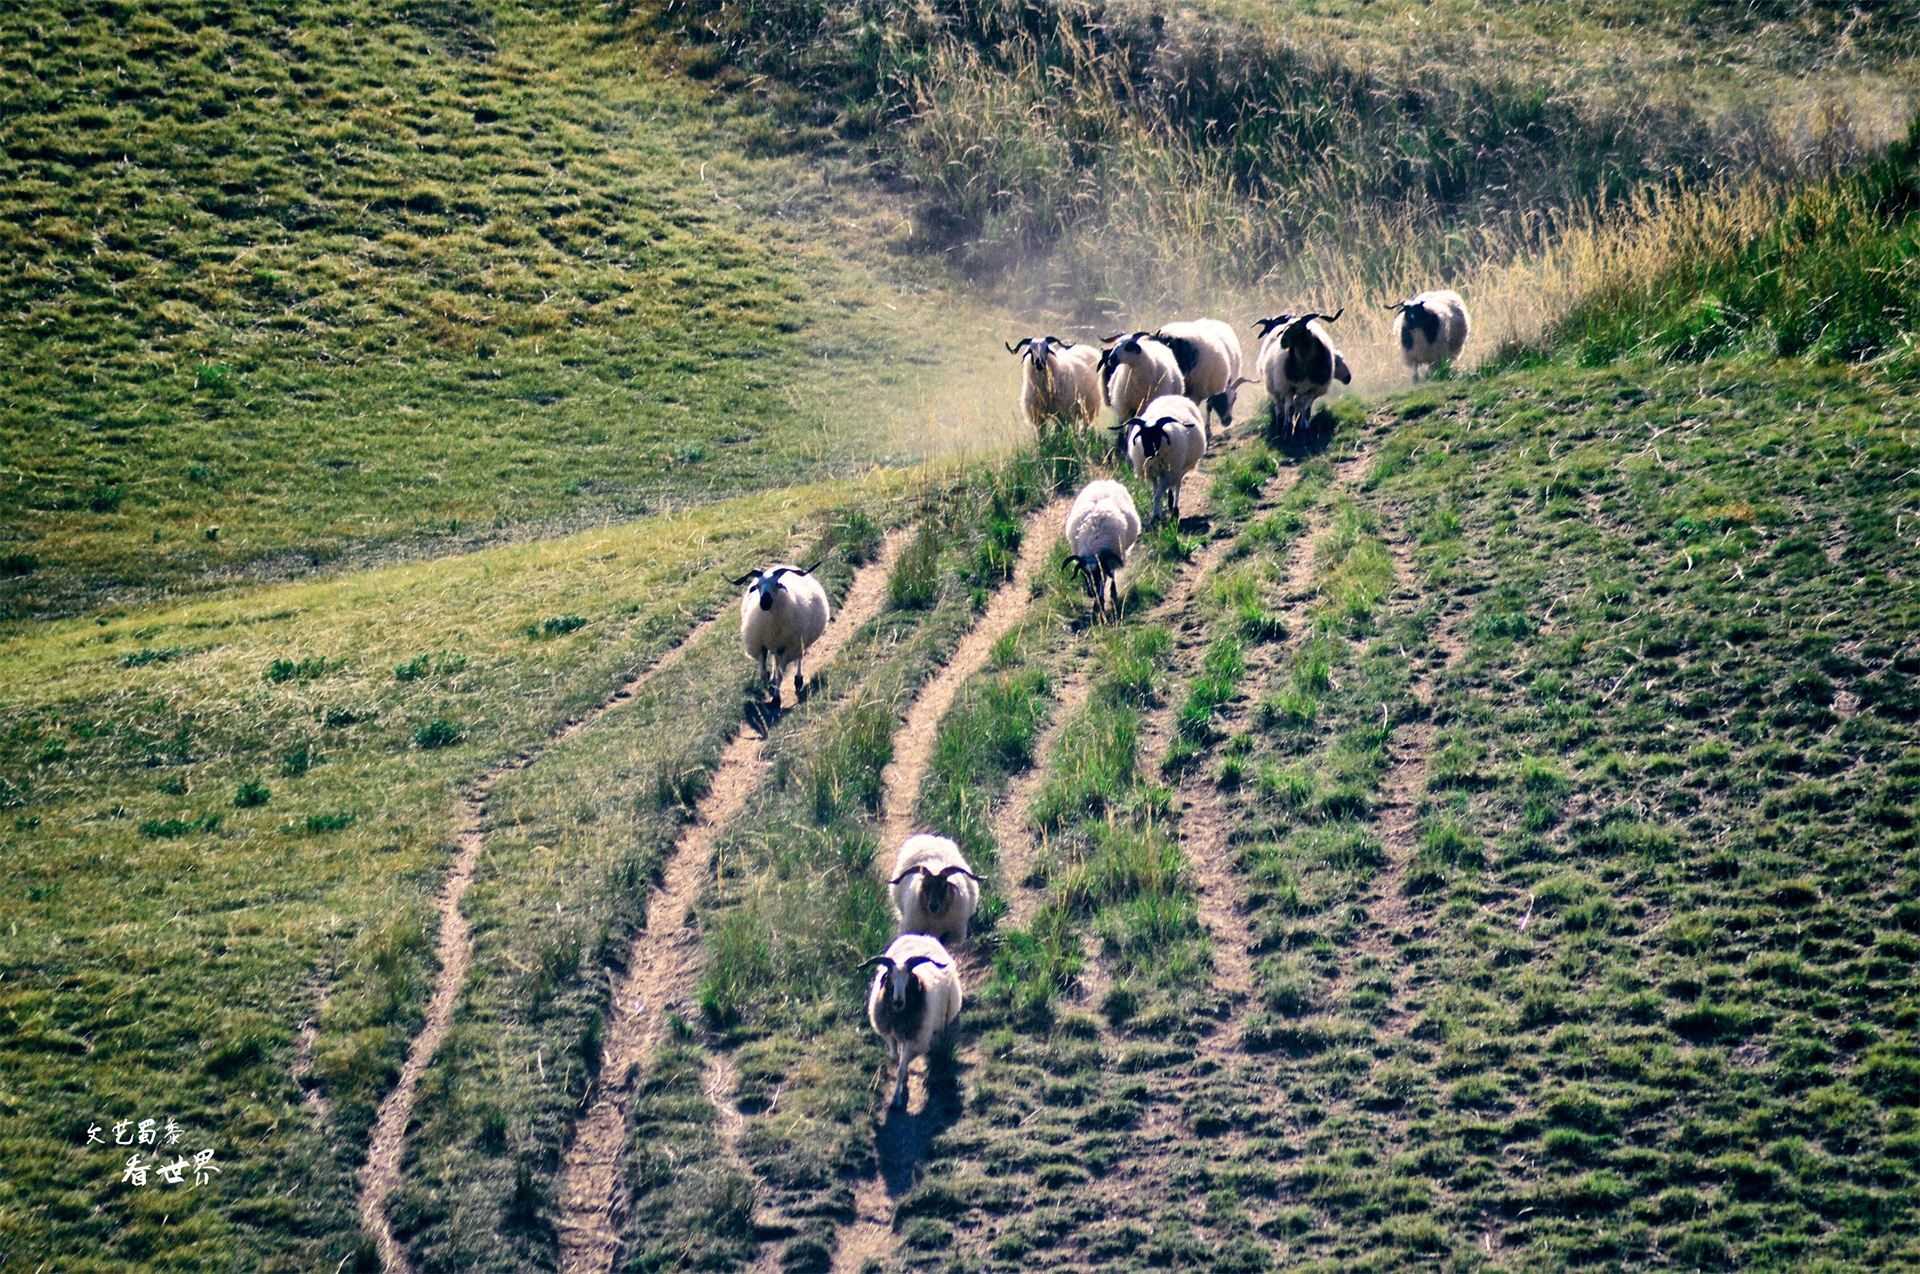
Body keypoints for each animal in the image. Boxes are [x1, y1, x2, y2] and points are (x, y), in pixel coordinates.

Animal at [729, 564, 829, 709]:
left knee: (799, 657)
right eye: (757, 585)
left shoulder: (789, 648)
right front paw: (770, 685)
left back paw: (798, 680)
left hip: (798, 642)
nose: (764, 602)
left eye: (776, 585)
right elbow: (763, 674)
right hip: (778, 646)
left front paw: (776, 698)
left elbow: (780, 675)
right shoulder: (761, 646)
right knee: (776, 660)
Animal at [867, 932, 967, 1112]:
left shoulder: (914, 1036)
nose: (898, 1002)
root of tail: (921, 935)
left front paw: (896, 1099)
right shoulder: (889, 1032)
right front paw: (902, 1072)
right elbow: (894, 1057)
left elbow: (902, 1066)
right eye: (890, 980)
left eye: (909, 980)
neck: (900, 1015)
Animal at [1121, 393, 1205, 521]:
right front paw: (1155, 513)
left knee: (1177, 485)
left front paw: (1155, 516)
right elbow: (1155, 493)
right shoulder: (1152, 474)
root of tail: (1172, 395)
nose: (1148, 453)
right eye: (1143, 436)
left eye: (1157, 435)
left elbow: (1158, 495)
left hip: (1179, 468)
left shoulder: (1167, 473)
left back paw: (1175, 508)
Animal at [1244, 308, 1351, 443]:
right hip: (1275, 387)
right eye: (1285, 329)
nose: (1283, 341)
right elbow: (1289, 410)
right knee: (1280, 407)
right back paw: (1281, 426)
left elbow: (1306, 412)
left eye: (1298, 329)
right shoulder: (1288, 387)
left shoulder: (1312, 389)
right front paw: (1287, 433)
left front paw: (1305, 433)